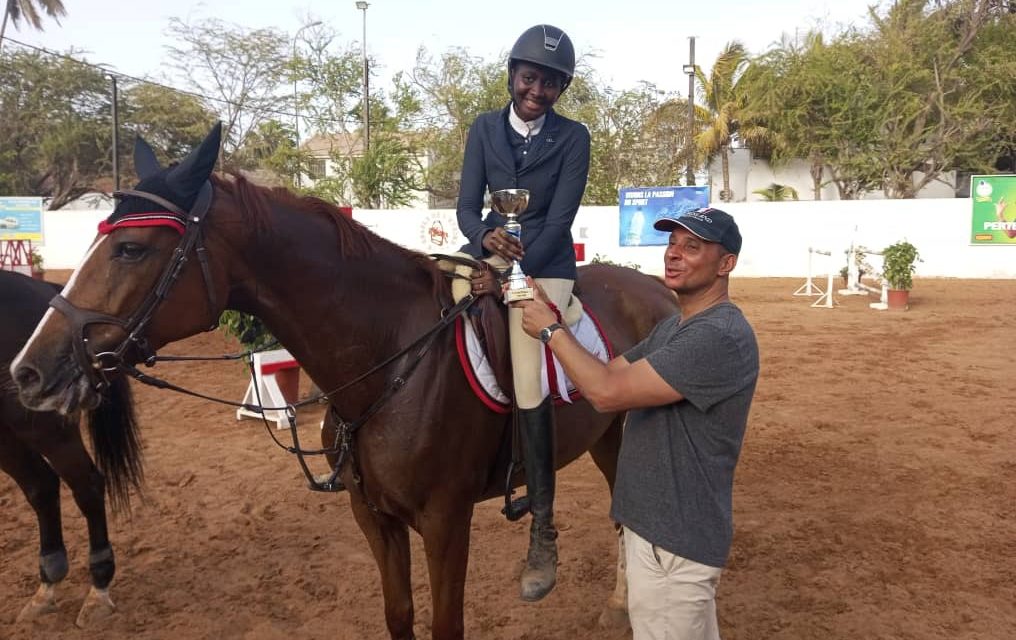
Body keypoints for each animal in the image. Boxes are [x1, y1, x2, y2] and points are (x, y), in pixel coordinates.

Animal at [0, 268, 144, 629]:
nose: (26, 371)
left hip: (45, 428)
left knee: (85, 485)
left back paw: (98, 586)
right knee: (41, 486)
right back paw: (47, 583)